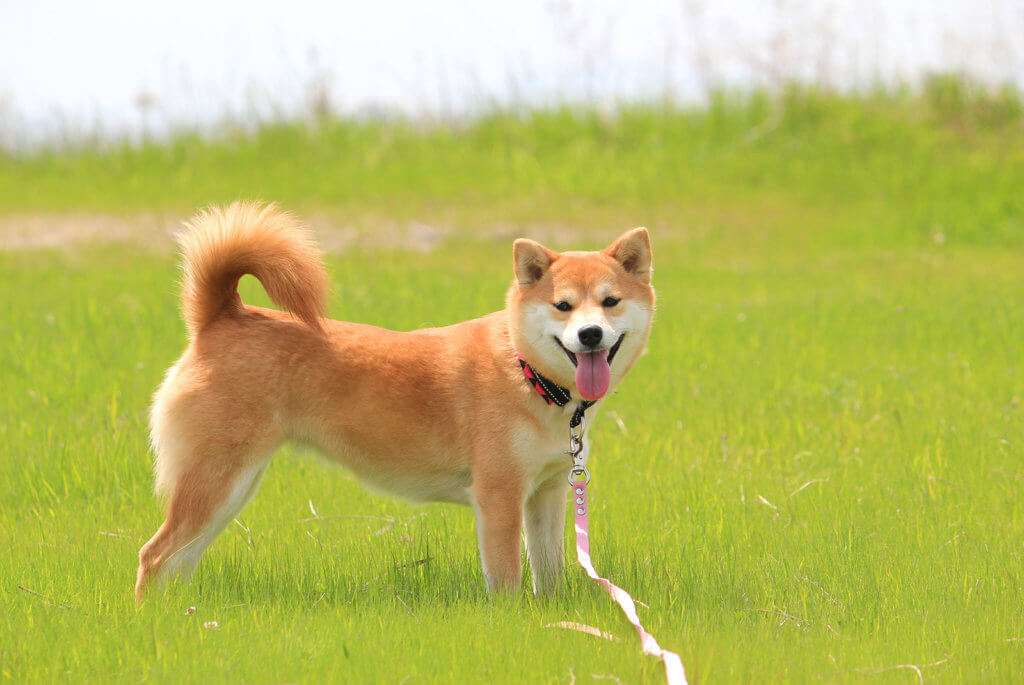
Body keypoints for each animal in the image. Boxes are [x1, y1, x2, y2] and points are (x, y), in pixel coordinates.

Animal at [136, 201, 655, 597]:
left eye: (609, 302)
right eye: (562, 305)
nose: (589, 334)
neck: (527, 374)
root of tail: (221, 317)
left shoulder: (546, 493)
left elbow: (549, 574)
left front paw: (550, 619)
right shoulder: (499, 497)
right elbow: (506, 579)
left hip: (232, 488)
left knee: (179, 561)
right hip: (217, 480)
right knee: (154, 556)